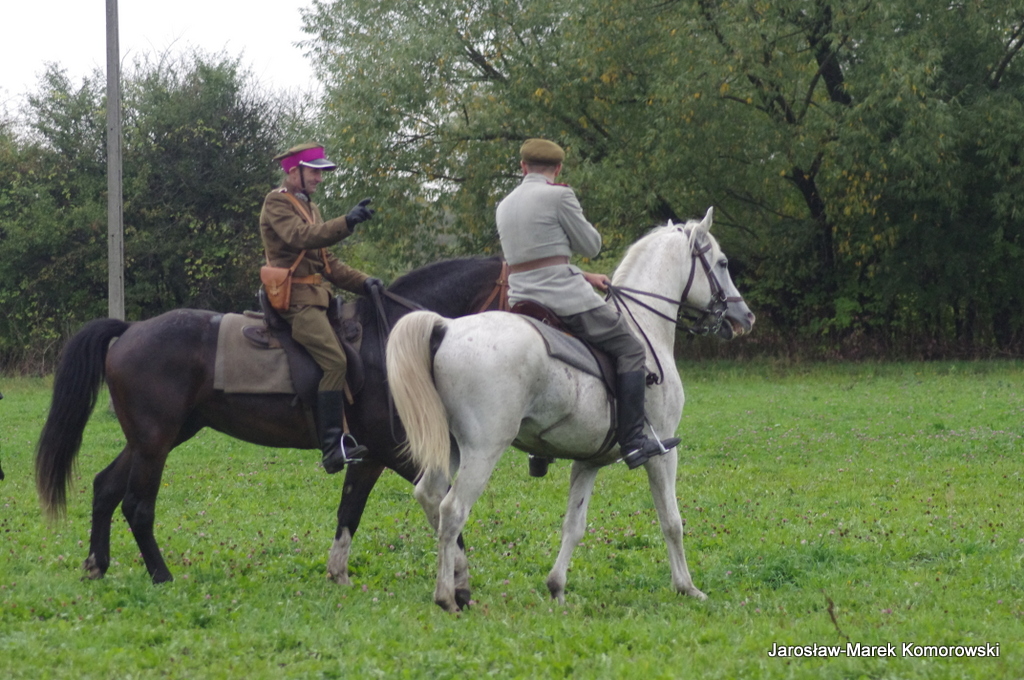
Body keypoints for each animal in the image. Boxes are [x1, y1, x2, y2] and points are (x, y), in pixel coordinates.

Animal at [34, 256, 505, 584]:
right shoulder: (395, 451)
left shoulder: (371, 456)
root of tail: (130, 329)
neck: (391, 340)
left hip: (156, 437)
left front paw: (338, 574)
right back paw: (161, 576)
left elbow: (349, 510)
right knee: (137, 505)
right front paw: (458, 573)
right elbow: (443, 506)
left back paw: (97, 564)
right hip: (155, 442)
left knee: (105, 487)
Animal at [386, 208, 754, 612]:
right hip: (483, 451)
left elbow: (574, 526)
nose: (745, 317)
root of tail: (448, 328)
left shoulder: (588, 462)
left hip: (451, 448)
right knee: (452, 511)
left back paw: (462, 583)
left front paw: (556, 587)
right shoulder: (662, 453)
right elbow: (671, 521)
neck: (645, 327)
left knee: (430, 496)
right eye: (722, 263)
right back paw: (447, 596)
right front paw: (687, 587)